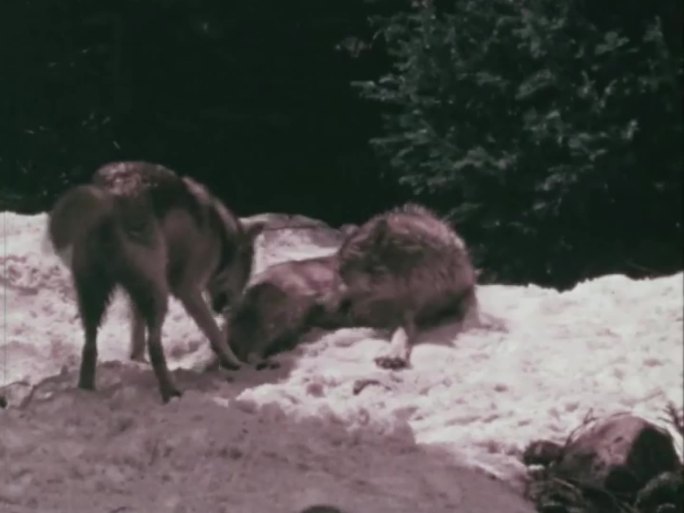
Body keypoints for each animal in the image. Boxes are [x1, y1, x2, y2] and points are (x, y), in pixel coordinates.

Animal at [46, 160, 266, 400]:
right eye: (246, 274)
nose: (234, 307)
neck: (222, 236)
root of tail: (111, 196)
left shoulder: (139, 295)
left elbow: (136, 332)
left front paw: (136, 360)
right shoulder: (186, 289)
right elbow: (214, 331)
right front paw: (233, 362)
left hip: (97, 298)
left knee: (89, 345)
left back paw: (86, 390)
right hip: (158, 295)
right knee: (155, 346)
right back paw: (171, 392)